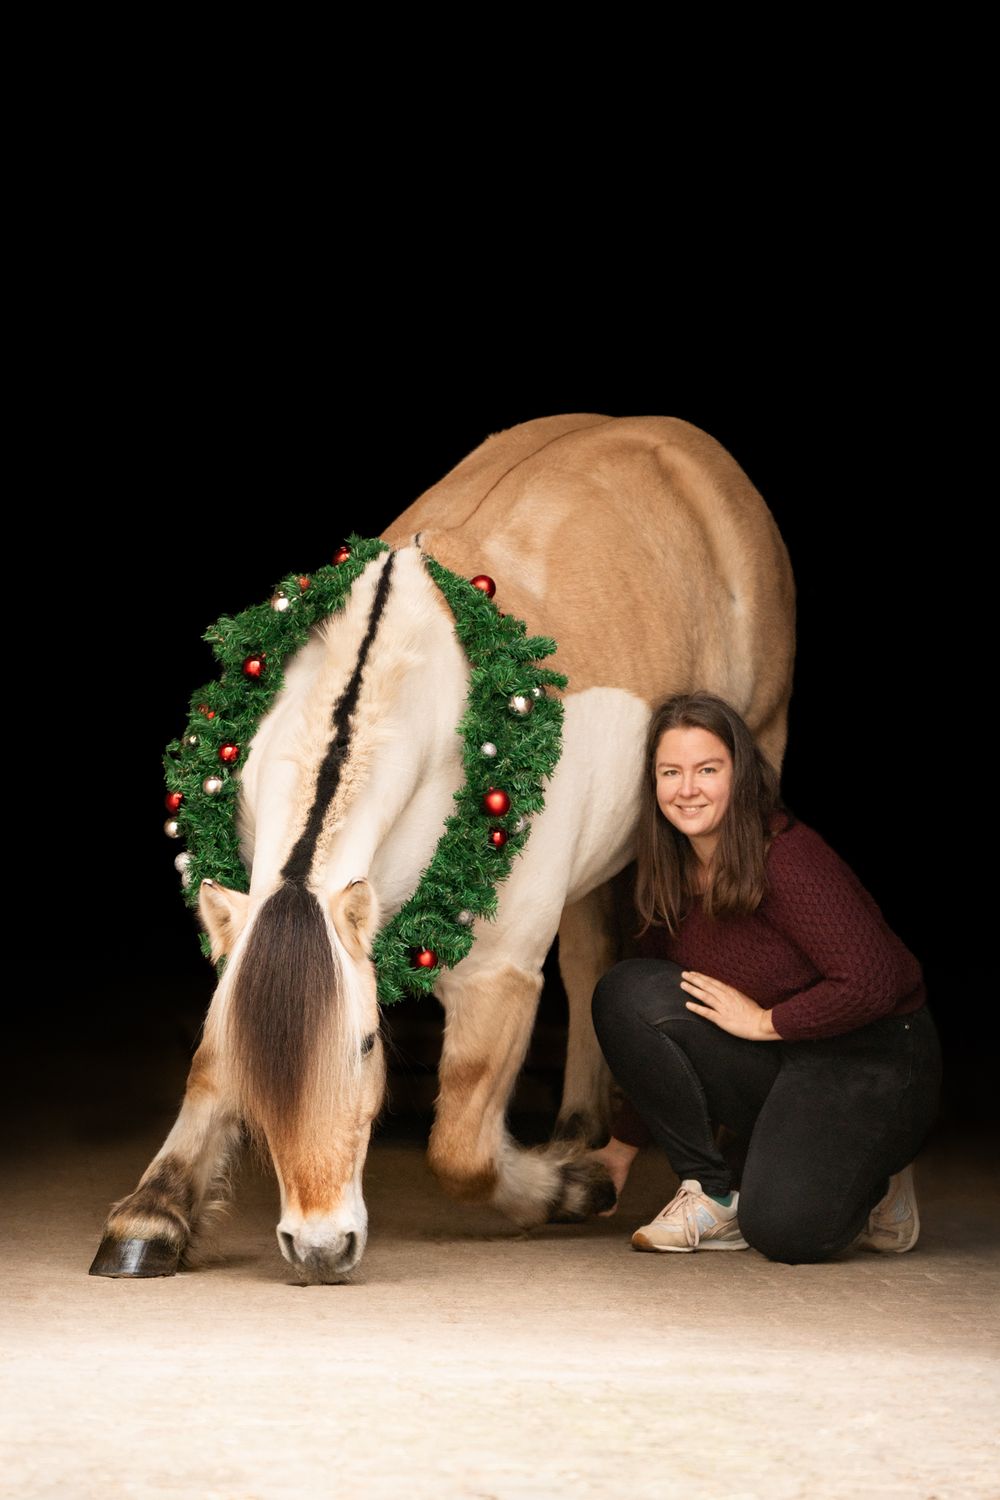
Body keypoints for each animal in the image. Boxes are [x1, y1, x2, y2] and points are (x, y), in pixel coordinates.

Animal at [90, 413, 795, 1283]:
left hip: (761, 738)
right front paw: (154, 1212)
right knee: (590, 959)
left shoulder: (496, 977)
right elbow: (215, 1062)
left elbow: (460, 1150)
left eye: (365, 1043)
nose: (319, 1247)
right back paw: (580, 1126)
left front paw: (567, 1188)